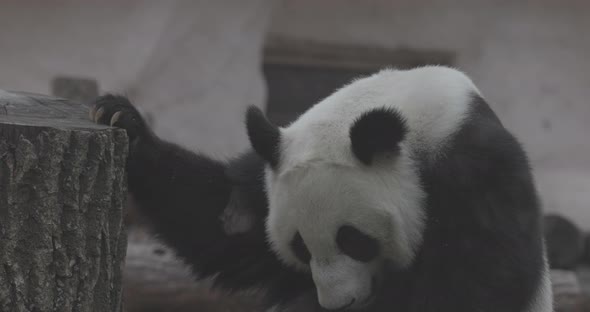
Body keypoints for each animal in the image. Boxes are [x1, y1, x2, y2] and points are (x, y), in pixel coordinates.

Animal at [90, 66, 552, 312]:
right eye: (300, 247)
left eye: (355, 240)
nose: (339, 305)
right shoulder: (269, 171)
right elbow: (223, 225)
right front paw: (122, 120)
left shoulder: (479, 180)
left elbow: (474, 284)